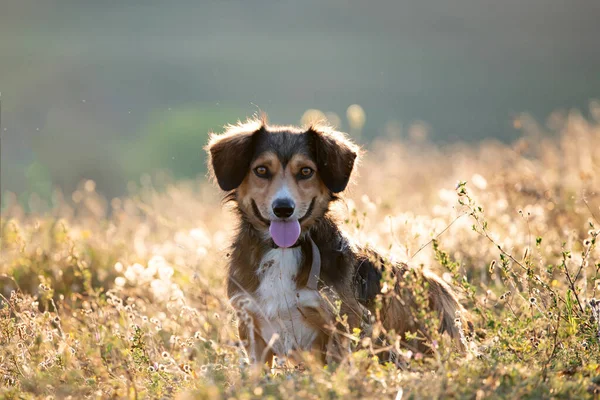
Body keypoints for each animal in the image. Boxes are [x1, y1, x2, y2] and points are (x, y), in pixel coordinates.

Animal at [206, 114, 474, 368]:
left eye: (306, 171)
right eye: (261, 170)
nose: (283, 208)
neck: (283, 251)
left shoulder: (340, 326)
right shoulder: (252, 327)